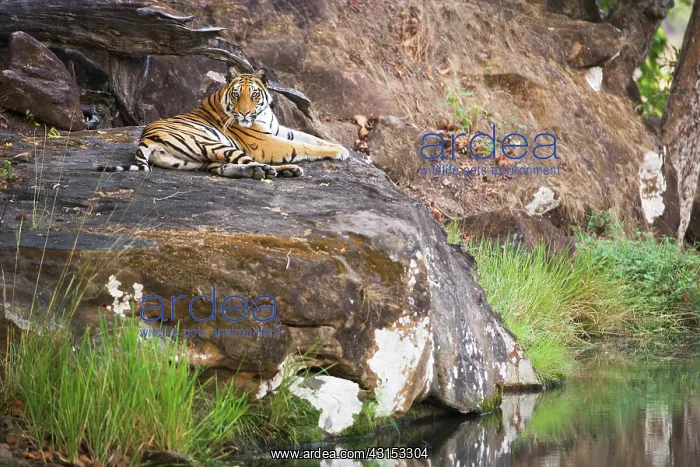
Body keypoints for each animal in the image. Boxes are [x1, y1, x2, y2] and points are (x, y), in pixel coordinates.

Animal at [96, 67, 349, 179]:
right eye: (237, 95)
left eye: (254, 94)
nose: (245, 113)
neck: (263, 114)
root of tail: (145, 138)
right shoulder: (264, 143)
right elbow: (302, 146)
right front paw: (338, 152)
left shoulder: (278, 130)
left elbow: (311, 137)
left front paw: (341, 147)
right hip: (213, 144)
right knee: (244, 163)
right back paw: (275, 170)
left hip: (196, 160)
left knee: (224, 168)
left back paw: (270, 171)